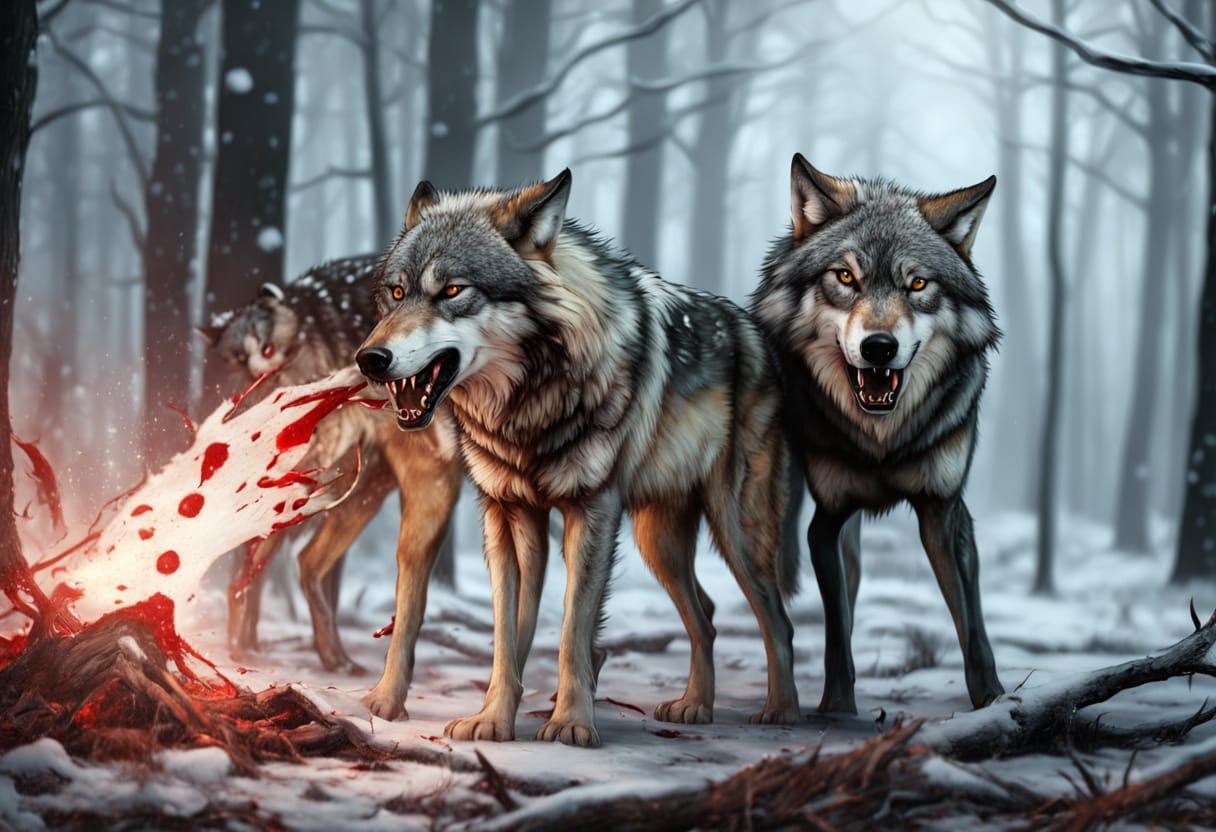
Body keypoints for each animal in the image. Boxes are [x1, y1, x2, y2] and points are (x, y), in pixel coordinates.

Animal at [200, 255, 463, 718]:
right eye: (238, 359)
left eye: (267, 349)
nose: (260, 389)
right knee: (256, 571)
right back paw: (246, 651)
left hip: (360, 497)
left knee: (300, 564)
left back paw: (327, 657)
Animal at [355, 169, 800, 746]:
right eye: (397, 292)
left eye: (452, 291)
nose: (369, 359)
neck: (527, 407)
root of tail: (758, 335)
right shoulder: (507, 514)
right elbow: (507, 632)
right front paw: (493, 718)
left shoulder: (592, 511)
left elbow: (571, 629)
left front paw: (570, 722)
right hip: (658, 541)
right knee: (705, 613)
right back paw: (695, 705)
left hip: (735, 531)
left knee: (776, 618)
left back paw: (782, 711)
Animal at [752, 154, 1005, 714]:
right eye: (846, 276)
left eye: (918, 285)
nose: (879, 348)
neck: (882, 441)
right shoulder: (826, 523)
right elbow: (835, 630)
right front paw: (837, 708)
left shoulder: (945, 511)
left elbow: (972, 624)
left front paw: (994, 702)